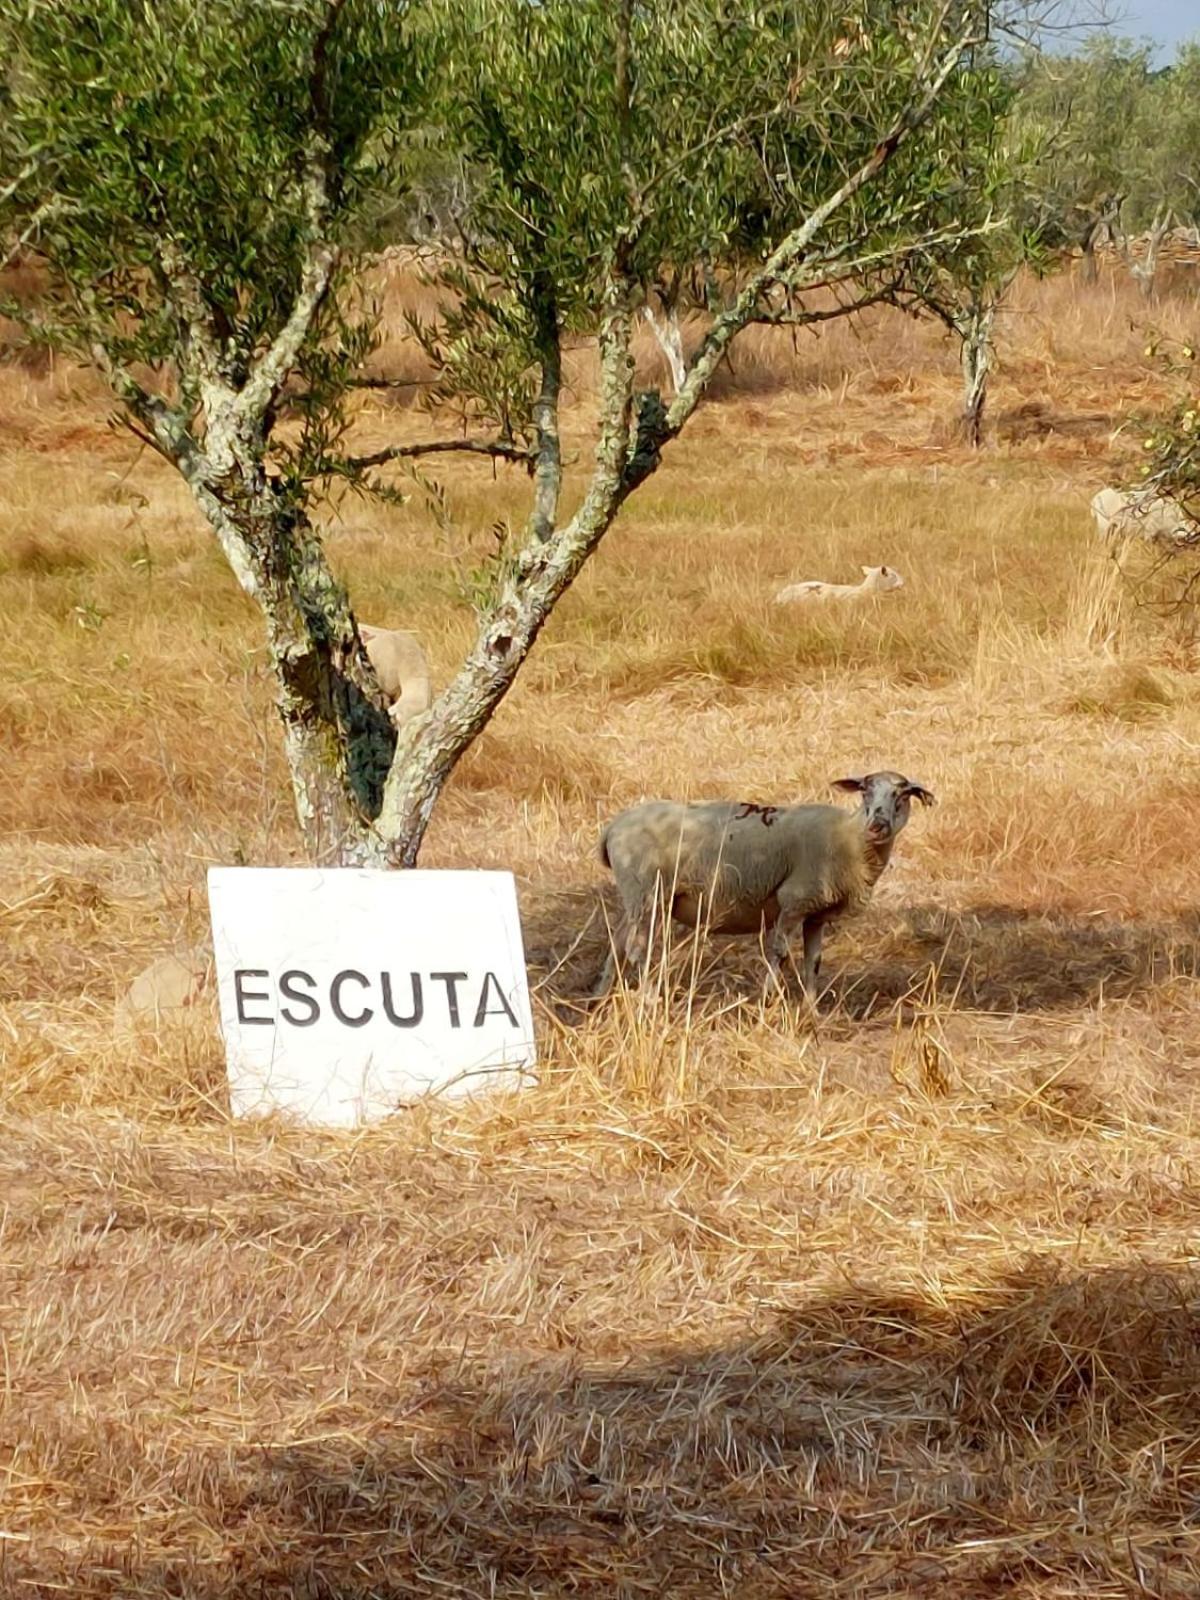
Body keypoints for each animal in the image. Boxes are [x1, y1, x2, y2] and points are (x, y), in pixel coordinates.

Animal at [598, 764, 934, 998]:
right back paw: (649, 999)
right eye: (864, 790)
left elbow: (813, 961)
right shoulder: (794, 900)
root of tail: (613, 827)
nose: (877, 825)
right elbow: (780, 953)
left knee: (618, 942)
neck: (848, 837)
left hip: (638, 897)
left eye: (903, 794)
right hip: (647, 893)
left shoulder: (815, 913)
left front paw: (811, 1011)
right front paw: (768, 1001)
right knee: (636, 949)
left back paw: (600, 997)